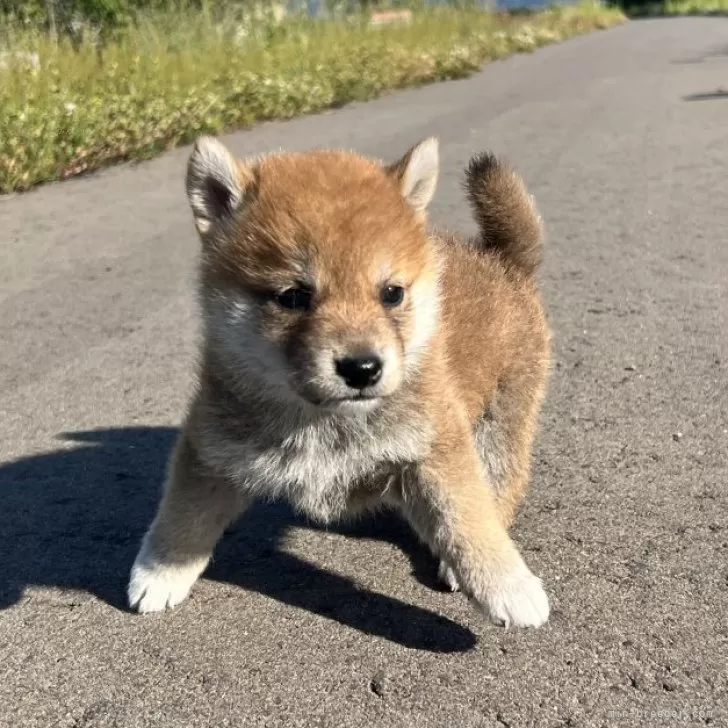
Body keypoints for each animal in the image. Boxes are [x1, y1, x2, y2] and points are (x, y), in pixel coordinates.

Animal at [129, 134, 552, 628]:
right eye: (294, 296)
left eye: (391, 293)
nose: (362, 368)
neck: (323, 421)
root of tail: (502, 261)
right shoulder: (213, 450)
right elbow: (183, 517)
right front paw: (159, 573)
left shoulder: (435, 449)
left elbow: (467, 519)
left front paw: (509, 586)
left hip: (501, 424)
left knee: (500, 489)